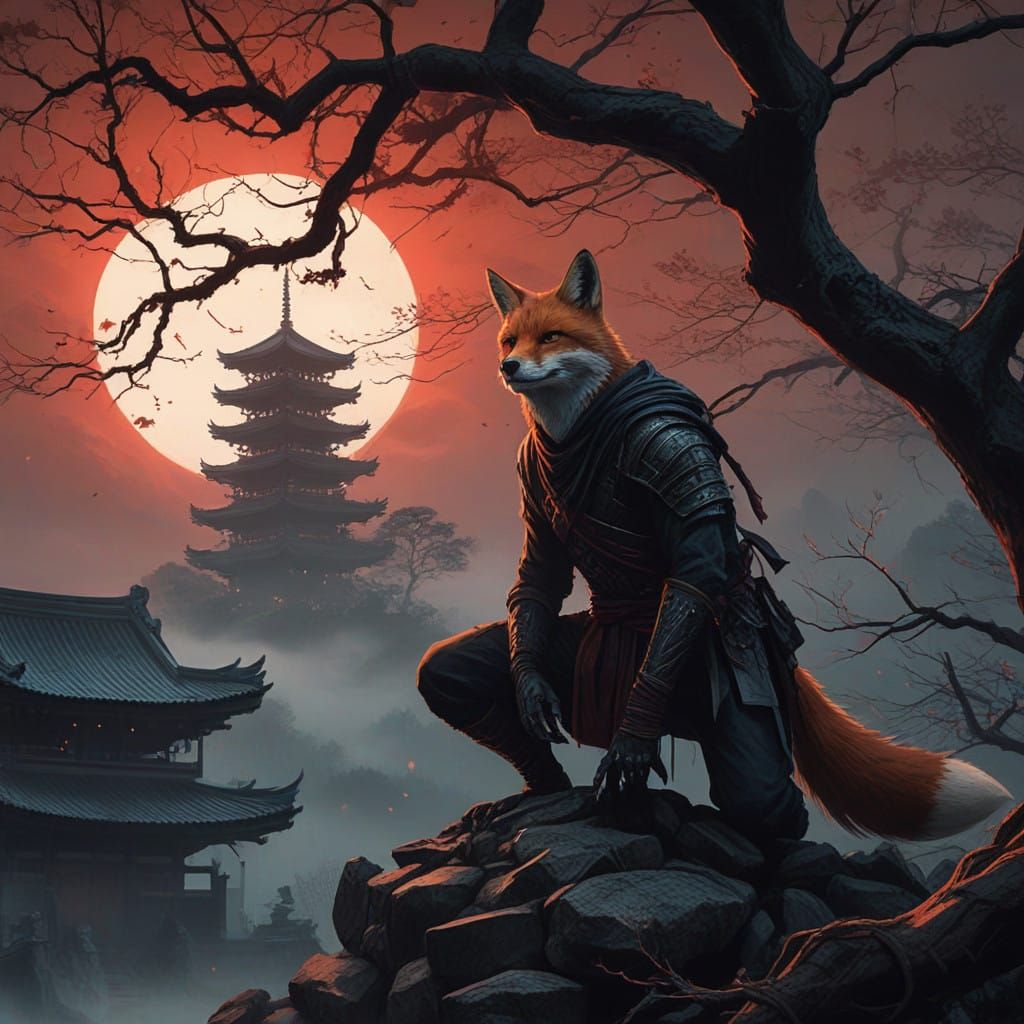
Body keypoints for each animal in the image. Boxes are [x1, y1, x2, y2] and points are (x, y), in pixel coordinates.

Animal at [485, 249, 1011, 841]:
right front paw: (531, 693)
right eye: (509, 341)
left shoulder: (673, 452)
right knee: (444, 667)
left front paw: (630, 747)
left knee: (766, 797)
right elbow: (538, 583)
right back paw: (547, 788)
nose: (508, 368)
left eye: (551, 336)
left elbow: (690, 577)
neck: (577, 432)